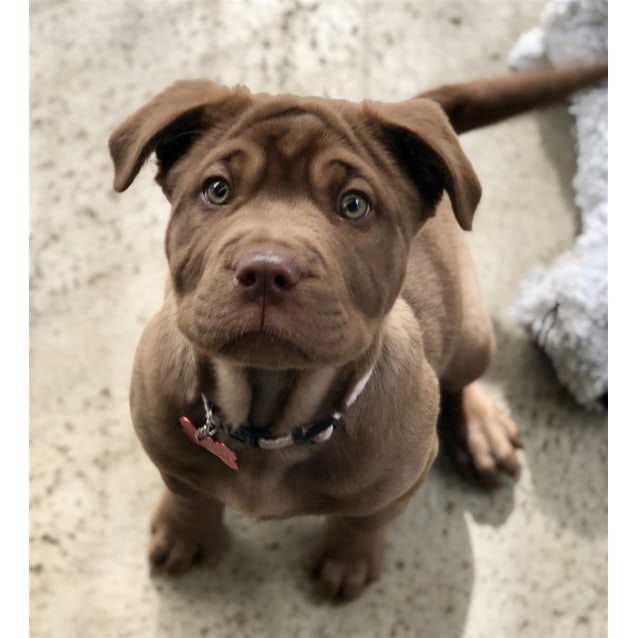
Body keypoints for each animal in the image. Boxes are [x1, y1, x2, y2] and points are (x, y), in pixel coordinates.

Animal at [110, 62, 608, 604]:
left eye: (353, 205)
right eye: (217, 190)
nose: (266, 269)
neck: (270, 419)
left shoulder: (403, 480)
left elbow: (362, 522)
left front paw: (345, 561)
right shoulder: (166, 449)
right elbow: (190, 494)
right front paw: (184, 532)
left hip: (473, 334)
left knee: (460, 378)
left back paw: (481, 429)